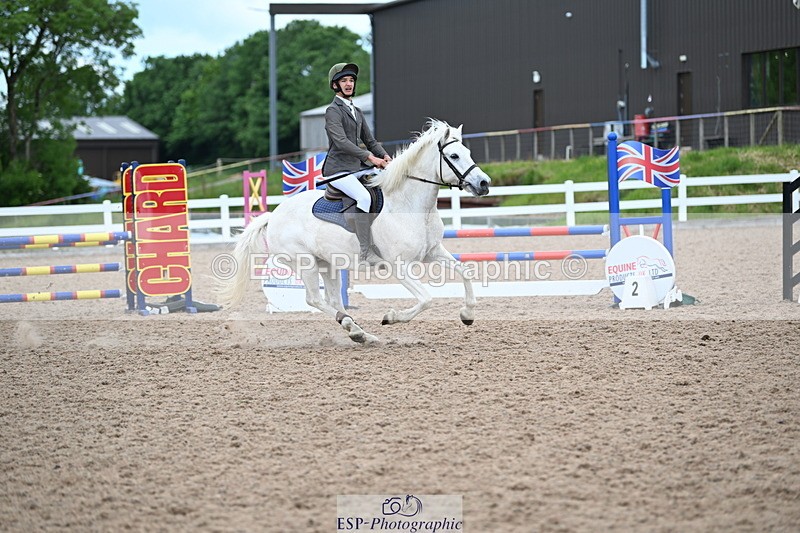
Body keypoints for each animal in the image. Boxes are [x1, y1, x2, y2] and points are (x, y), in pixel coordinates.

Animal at [218, 119, 492, 343]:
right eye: (454, 156)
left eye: (468, 153)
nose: (484, 184)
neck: (409, 205)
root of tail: (273, 215)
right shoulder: (399, 266)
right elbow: (427, 299)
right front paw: (391, 317)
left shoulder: (433, 252)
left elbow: (465, 272)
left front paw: (467, 314)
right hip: (305, 262)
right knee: (314, 299)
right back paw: (355, 329)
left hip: (327, 263)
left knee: (333, 300)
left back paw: (359, 332)